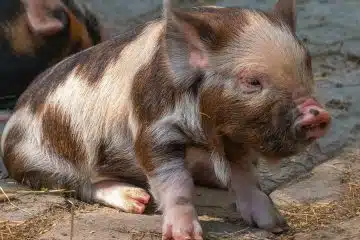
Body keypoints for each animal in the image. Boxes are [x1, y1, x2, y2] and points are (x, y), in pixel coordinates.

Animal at [0, 0, 332, 240]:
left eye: (307, 66)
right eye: (252, 81)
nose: (318, 114)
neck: (205, 133)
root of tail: (13, 120)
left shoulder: (236, 136)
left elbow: (247, 180)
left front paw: (278, 225)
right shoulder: (153, 127)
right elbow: (174, 182)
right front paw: (184, 236)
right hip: (40, 165)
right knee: (81, 185)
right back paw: (138, 200)